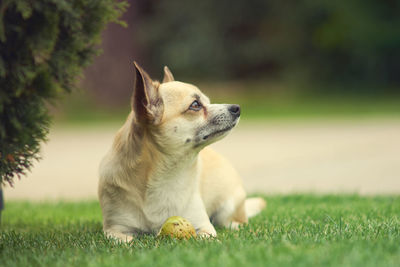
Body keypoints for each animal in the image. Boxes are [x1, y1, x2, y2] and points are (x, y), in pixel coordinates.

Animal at [97, 61, 266, 242]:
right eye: (195, 105)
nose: (237, 108)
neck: (164, 175)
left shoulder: (205, 228)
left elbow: (200, 237)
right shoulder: (114, 230)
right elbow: (127, 241)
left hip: (228, 208)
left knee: (235, 221)